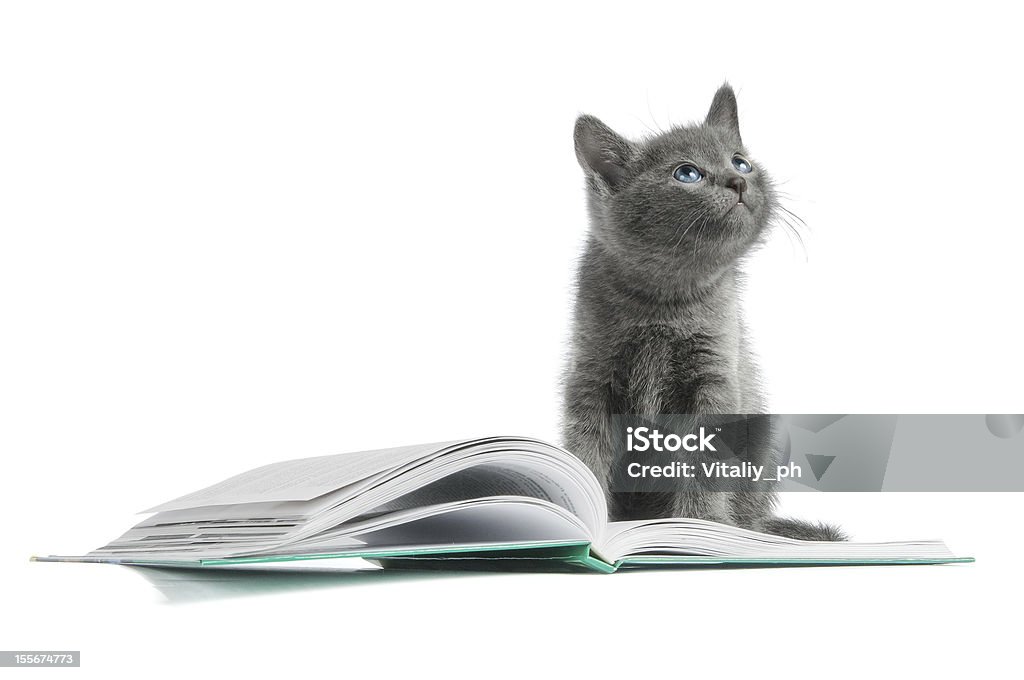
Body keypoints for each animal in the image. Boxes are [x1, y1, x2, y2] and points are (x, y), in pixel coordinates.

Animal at [565, 83, 843, 540]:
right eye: (687, 174)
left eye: (740, 161)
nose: (738, 180)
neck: (664, 302)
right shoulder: (591, 377)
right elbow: (585, 451)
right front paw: (582, 523)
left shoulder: (714, 376)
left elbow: (704, 459)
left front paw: (700, 526)